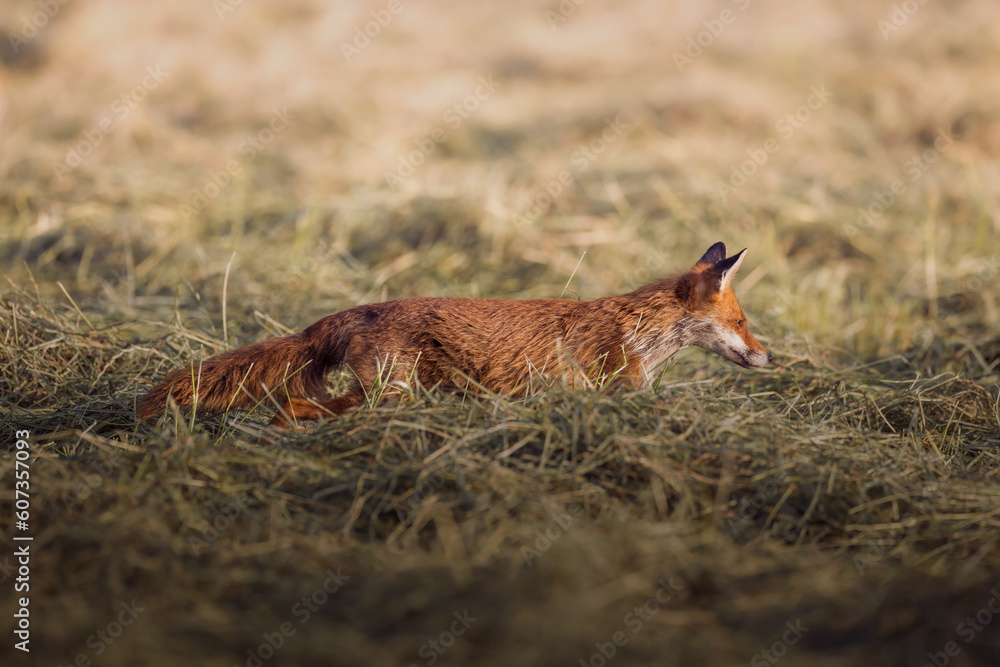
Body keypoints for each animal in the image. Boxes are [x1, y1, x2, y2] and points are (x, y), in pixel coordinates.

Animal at [137, 242, 771, 427]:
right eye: (743, 323)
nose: (771, 356)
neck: (640, 332)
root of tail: (358, 309)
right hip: (391, 393)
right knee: (295, 406)